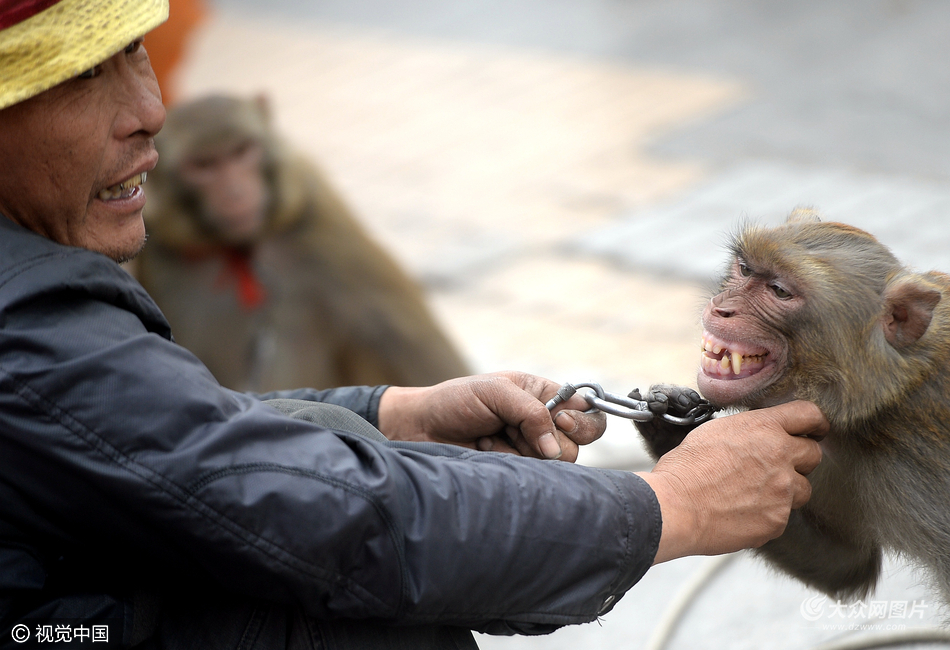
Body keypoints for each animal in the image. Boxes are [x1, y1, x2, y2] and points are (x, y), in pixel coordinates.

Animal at [138, 94, 472, 392]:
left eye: (244, 150)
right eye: (203, 165)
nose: (236, 193)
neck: (238, 253)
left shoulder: (320, 225)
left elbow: (402, 341)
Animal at [632, 211, 950, 604]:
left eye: (780, 291)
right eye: (744, 269)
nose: (722, 307)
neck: (883, 401)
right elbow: (845, 563)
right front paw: (676, 429)